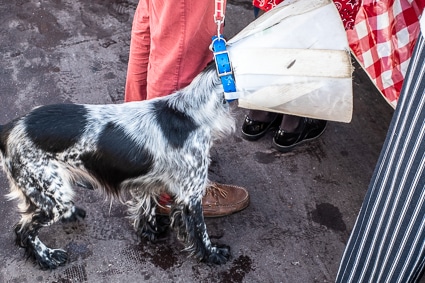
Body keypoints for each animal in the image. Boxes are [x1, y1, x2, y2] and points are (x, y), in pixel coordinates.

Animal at [0, 63, 235, 270]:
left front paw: (151, 231)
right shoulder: (191, 195)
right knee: (24, 230)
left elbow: (146, 208)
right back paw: (47, 257)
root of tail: (10, 128)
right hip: (52, 197)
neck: (191, 112)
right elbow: (200, 231)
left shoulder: (149, 182)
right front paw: (213, 254)